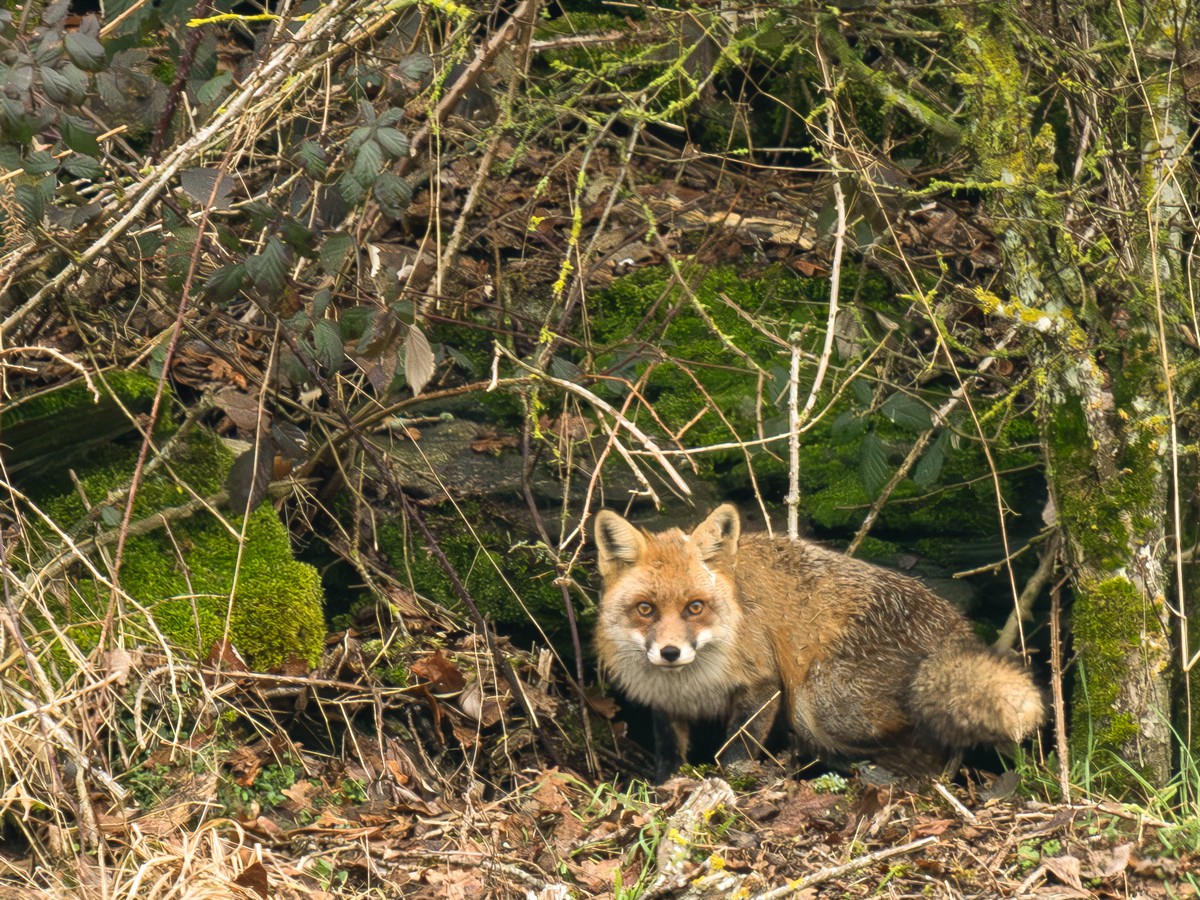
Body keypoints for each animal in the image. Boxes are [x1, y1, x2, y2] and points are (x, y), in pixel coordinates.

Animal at [594, 504, 1044, 780]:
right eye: (646, 609)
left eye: (695, 607)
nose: (670, 653)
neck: (689, 683)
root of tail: (954, 631)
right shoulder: (666, 708)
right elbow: (670, 759)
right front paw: (667, 791)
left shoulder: (764, 686)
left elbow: (736, 750)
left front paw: (731, 784)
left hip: (818, 703)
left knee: (924, 757)